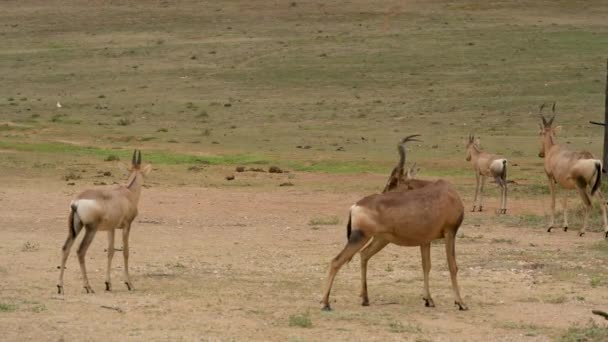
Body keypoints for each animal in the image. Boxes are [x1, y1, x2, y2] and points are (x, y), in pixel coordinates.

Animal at [57, 150, 152, 294]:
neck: (127, 192)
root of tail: (76, 201)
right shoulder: (127, 226)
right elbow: (125, 251)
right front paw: (129, 284)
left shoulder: (111, 228)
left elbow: (110, 251)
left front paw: (108, 284)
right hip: (91, 229)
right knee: (80, 251)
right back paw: (88, 287)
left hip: (75, 228)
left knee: (65, 248)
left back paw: (60, 286)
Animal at [320, 135, 468, 312]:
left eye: (394, 181)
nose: (383, 192)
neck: (446, 193)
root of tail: (355, 206)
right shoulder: (450, 232)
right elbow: (452, 266)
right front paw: (460, 303)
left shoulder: (425, 240)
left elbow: (426, 265)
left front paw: (428, 300)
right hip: (360, 237)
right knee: (336, 261)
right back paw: (326, 303)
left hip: (380, 239)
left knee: (364, 255)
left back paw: (365, 299)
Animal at [540, 103, 604, 238]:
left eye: (540, 133)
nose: (541, 154)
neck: (553, 150)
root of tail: (592, 158)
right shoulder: (565, 183)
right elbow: (565, 202)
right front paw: (565, 226)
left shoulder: (550, 178)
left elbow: (553, 201)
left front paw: (550, 226)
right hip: (594, 184)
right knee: (603, 201)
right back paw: (605, 232)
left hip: (581, 186)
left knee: (588, 204)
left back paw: (582, 231)